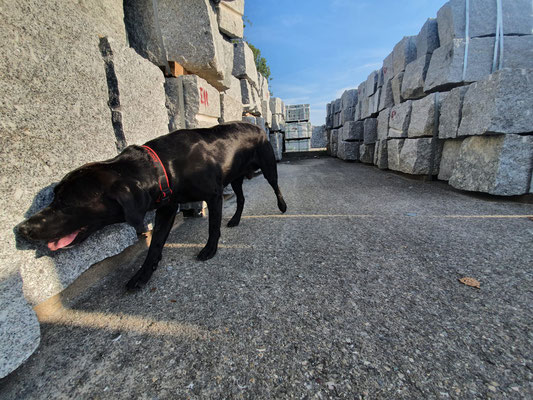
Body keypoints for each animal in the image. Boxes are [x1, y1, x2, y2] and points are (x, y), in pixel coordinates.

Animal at [17, 120, 286, 290]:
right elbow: (155, 243)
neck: (164, 165)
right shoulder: (167, 208)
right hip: (236, 178)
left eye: (66, 202)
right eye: (54, 196)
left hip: (267, 167)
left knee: (275, 186)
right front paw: (143, 273)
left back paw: (282, 206)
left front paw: (209, 249)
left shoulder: (214, 195)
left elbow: (212, 227)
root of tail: (256, 125)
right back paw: (236, 219)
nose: (23, 228)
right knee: (241, 198)